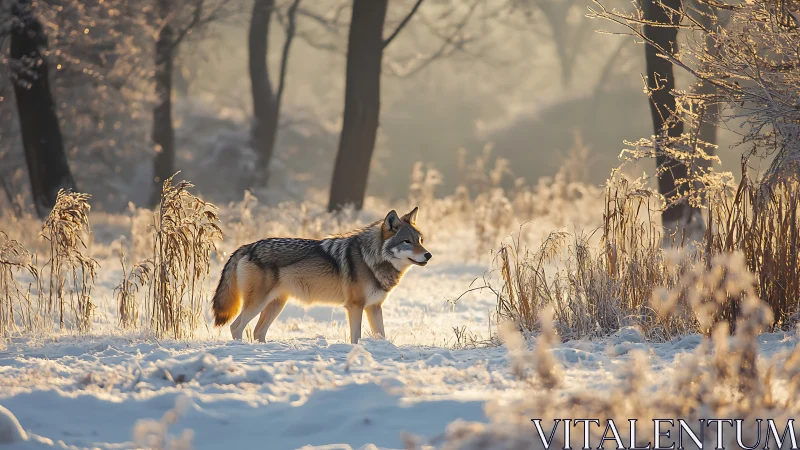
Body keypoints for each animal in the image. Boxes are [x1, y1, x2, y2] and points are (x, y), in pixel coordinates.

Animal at [211, 207, 431, 344]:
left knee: (258, 331)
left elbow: (381, 335)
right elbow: (356, 337)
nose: (428, 255)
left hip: (276, 304)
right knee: (236, 327)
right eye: (407, 241)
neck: (371, 259)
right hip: (257, 304)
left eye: (420, 240)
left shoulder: (374, 307)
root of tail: (248, 246)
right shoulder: (355, 306)